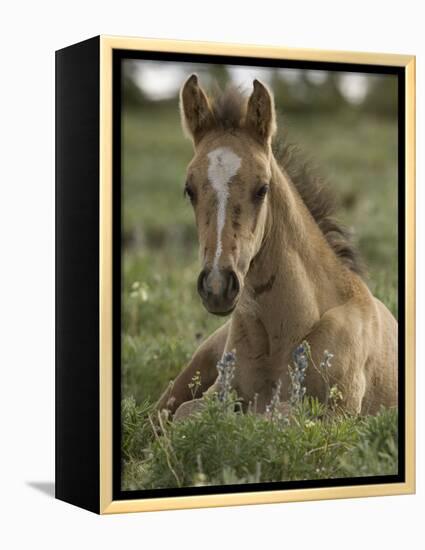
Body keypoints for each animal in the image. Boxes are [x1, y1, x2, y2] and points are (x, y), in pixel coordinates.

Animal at [157, 74, 398, 418]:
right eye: (189, 189)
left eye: (262, 188)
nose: (217, 286)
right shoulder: (218, 393)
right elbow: (185, 415)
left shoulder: (337, 413)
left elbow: (273, 416)